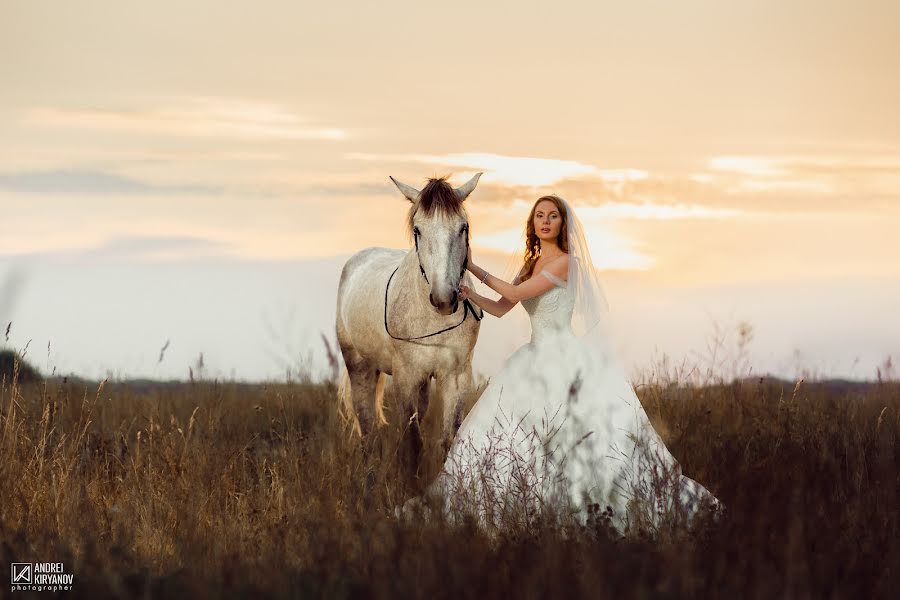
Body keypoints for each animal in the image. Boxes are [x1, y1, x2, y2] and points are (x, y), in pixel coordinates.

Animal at [336, 173, 486, 474]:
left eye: (463, 227)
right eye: (418, 230)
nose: (444, 298)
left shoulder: (456, 377)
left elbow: (448, 439)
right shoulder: (406, 377)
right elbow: (412, 443)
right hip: (360, 366)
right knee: (367, 429)